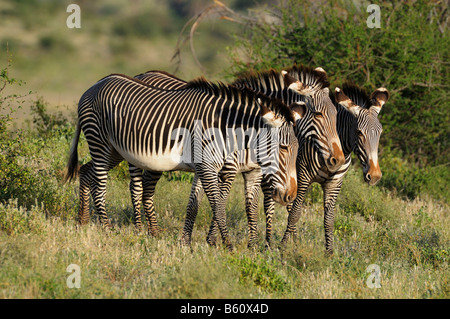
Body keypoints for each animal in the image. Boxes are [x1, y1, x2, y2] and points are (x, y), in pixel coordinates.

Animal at [63, 72, 302, 250]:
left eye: (298, 149)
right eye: (283, 148)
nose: (291, 195)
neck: (230, 130)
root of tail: (94, 85)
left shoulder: (207, 167)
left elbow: (197, 205)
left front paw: (187, 242)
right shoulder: (215, 168)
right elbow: (218, 206)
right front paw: (226, 244)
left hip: (115, 150)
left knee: (85, 171)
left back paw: (83, 220)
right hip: (101, 143)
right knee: (101, 187)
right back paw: (107, 228)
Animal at [280, 84, 388, 256]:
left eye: (380, 133)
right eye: (359, 132)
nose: (375, 176)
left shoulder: (335, 183)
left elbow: (329, 220)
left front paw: (329, 253)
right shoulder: (303, 176)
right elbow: (295, 213)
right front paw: (282, 247)